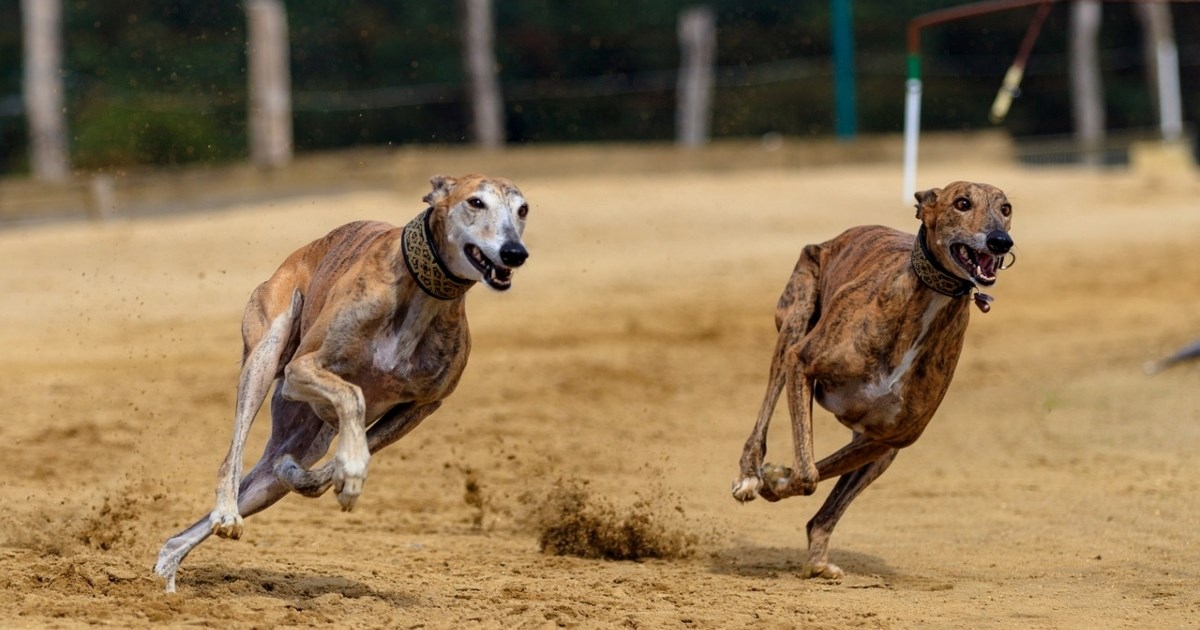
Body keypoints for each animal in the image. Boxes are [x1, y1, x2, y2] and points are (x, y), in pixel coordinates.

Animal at [154, 171, 530, 590]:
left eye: (523, 209)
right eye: (475, 202)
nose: (515, 253)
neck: (422, 295)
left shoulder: (423, 406)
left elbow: (340, 458)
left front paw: (335, 473)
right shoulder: (302, 369)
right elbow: (353, 395)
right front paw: (350, 468)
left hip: (298, 441)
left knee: (257, 480)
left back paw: (169, 565)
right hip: (268, 352)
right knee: (231, 457)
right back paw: (226, 513)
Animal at [729, 178, 1012, 578]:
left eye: (1006, 208)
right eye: (962, 203)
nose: (1001, 241)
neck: (925, 303)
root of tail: (838, 237)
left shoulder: (890, 437)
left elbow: (813, 472)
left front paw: (777, 480)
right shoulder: (802, 362)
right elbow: (808, 474)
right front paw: (768, 477)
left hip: (879, 449)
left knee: (824, 512)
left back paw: (818, 561)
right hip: (795, 317)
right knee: (767, 406)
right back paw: (749, 475)